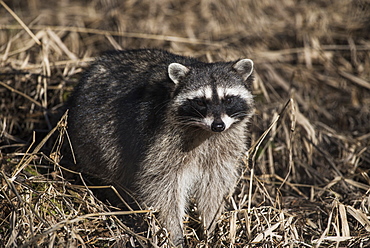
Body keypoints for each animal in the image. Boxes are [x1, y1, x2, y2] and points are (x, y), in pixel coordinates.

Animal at [66, 49, 253, 246]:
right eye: (201, 102)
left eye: (229, 99)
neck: (204, 132)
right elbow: (161, 185)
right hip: (95, 134)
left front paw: (210, 226)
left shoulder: (224, 145)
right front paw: (174, 231)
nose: (218, 126)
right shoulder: (161, 139)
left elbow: (215, 184)